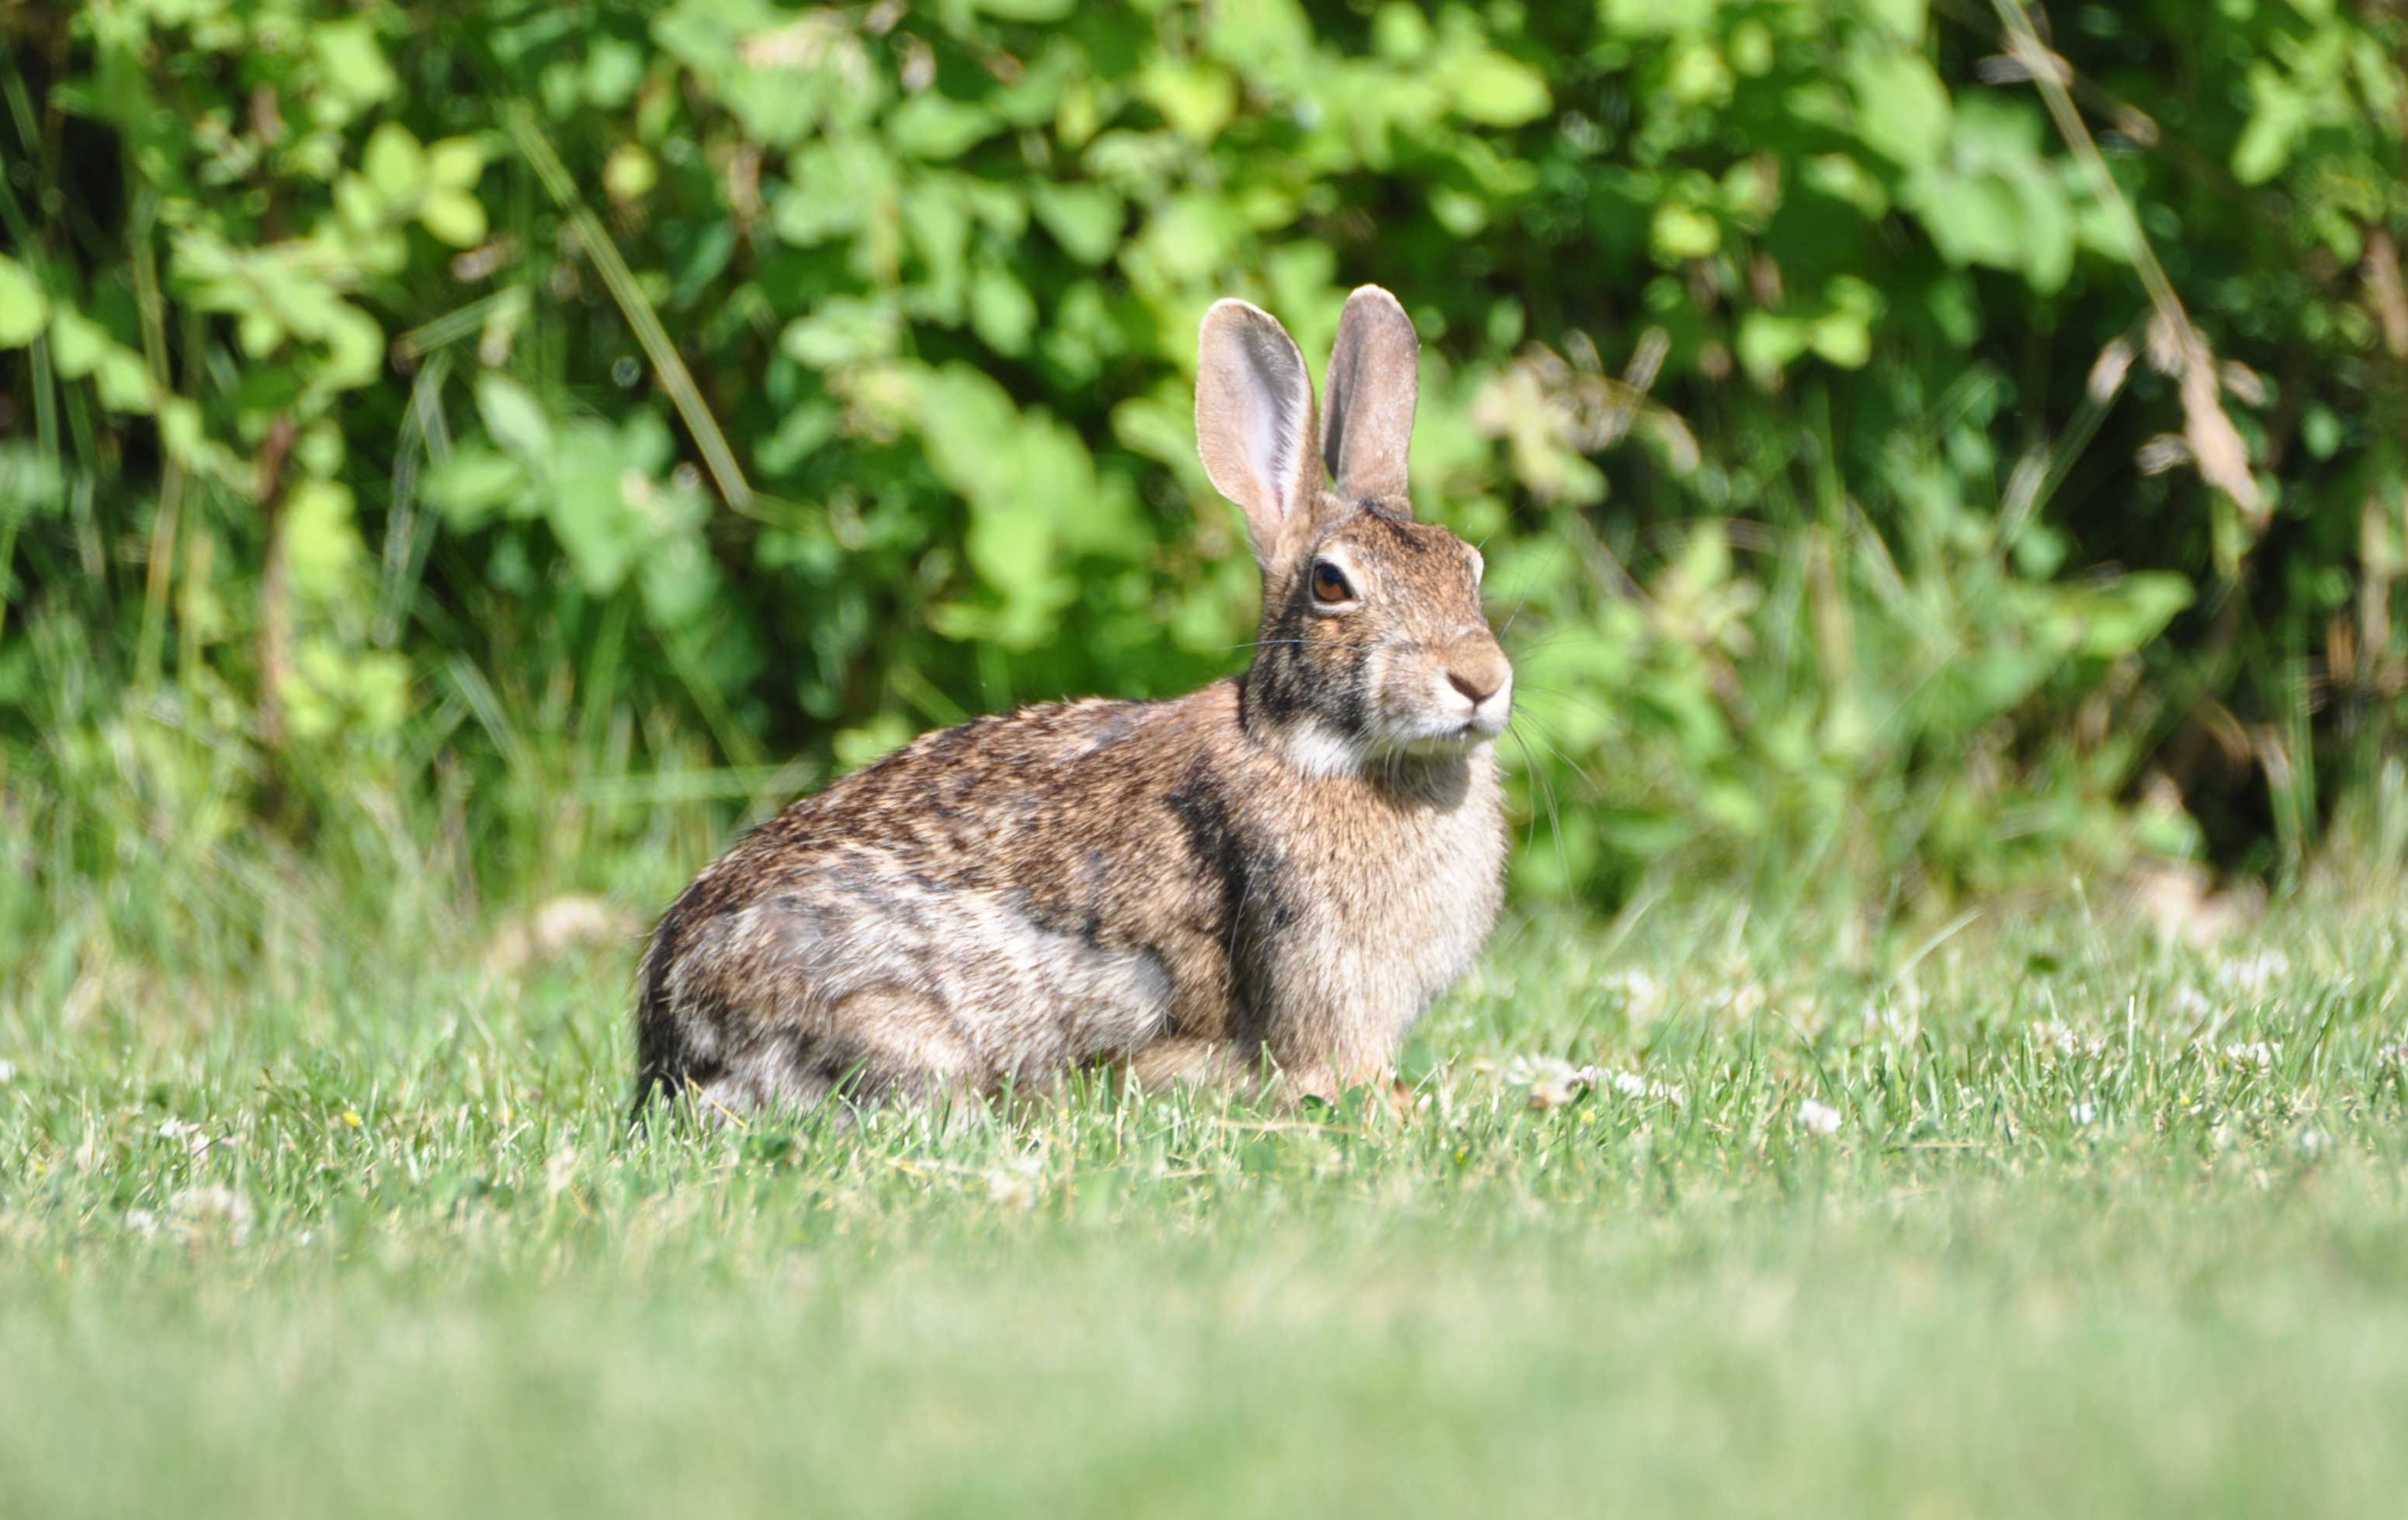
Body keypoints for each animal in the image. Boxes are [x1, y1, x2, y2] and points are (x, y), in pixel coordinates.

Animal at [632, 285, 1513, 1121]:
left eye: (1469, 567)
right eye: (1332, 584)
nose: (1480, 679)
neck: (1308, 749)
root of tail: (669, 1034)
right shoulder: (1322, 1001)